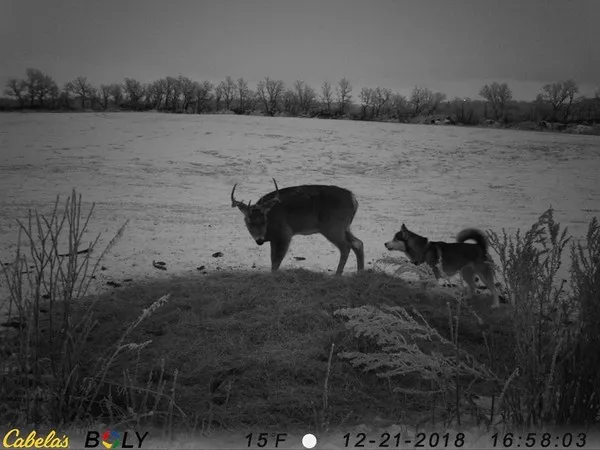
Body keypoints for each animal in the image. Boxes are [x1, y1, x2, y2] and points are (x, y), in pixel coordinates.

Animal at [231, 179, 366, 274]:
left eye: (264, 220)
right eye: (248, 221)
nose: (259, 240)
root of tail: (354, 199)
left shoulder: (284, 234)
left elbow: (276, 262)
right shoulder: (274, 239)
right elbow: (273, 259)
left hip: (333, 227)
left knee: (346, 247)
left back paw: (337, 275)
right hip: (345, 227)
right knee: (358, 243)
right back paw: (360, 273)